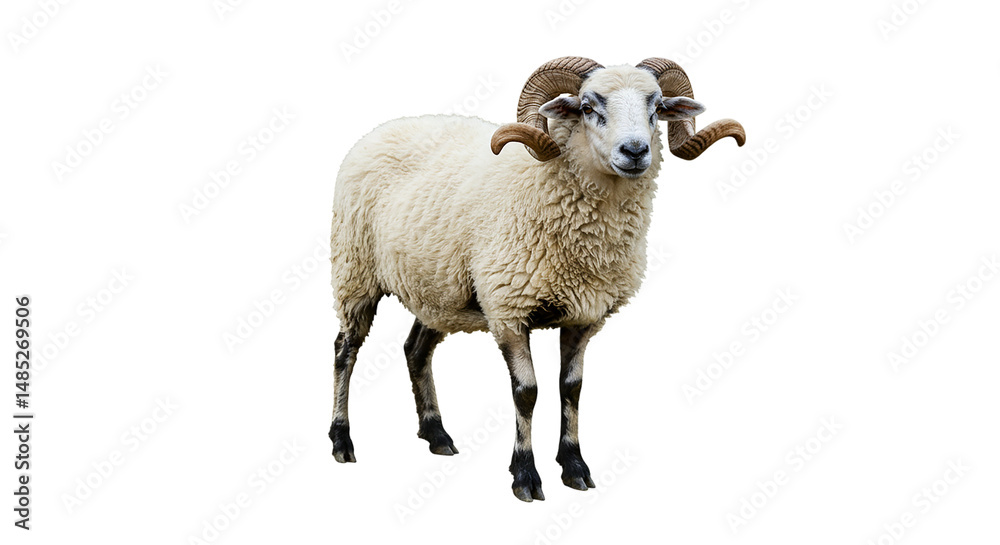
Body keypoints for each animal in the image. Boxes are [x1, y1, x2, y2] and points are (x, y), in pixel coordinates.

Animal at [329, 56, 745, 501]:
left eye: (656, 107)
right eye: (587, 106)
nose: (635, 151)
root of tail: (384, 128)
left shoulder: (584, 316)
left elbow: (571, 388)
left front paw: (575, 466)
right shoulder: (508, 311)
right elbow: (526, 392)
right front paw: (525, 475)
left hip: (437, 289)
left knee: (415, 351)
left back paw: (437, 434)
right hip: (355, 273)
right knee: (344, 351)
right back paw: (341, 440)